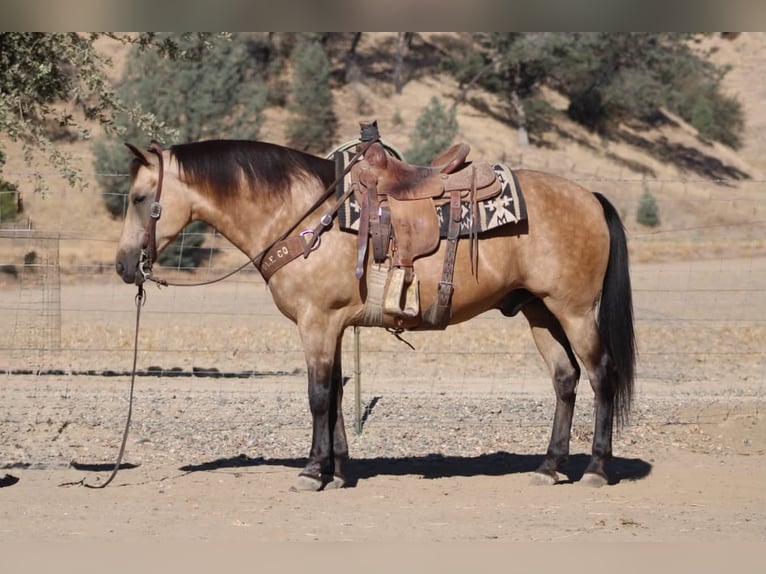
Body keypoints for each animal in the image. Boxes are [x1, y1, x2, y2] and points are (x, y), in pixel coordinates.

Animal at [115, 137, 635, 491]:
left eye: (139, 199)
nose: (123, 265)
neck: (304, 217)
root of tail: (591, 197)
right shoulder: (332, 325)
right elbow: (336, 394)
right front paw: (338, 469)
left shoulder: (317, 322)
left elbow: (318, 396)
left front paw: (312, 471)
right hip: (539, 311)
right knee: (565, 378)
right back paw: (549, 467)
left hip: (574, 311)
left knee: (601, 375)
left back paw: (594, 468)